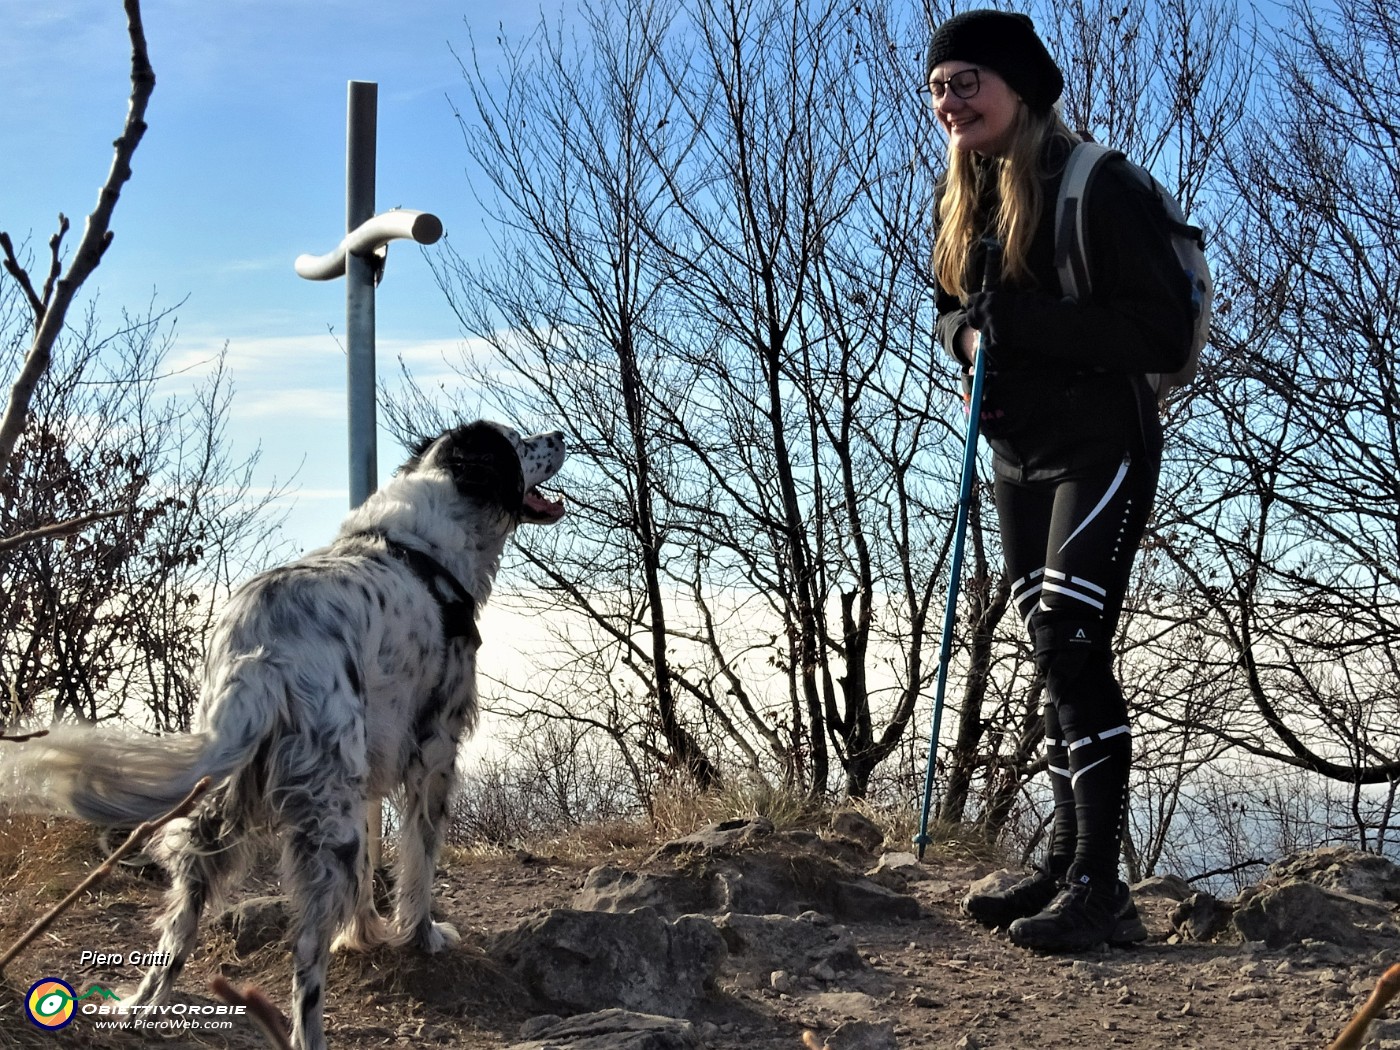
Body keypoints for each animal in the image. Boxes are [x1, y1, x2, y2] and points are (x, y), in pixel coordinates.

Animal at [2, 422, 568, 1050]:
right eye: (518, 444)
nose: (561, 435)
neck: (426, 537)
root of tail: (259, 652)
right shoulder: (434, 750)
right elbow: (420, 862)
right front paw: (422, 937)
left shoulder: (369, 764)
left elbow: (373, 867)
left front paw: (364, 933)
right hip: (326, 822)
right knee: (305, 966)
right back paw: (307, 1033)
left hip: (225, 804)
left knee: (179, 924)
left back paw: (144, 1008)